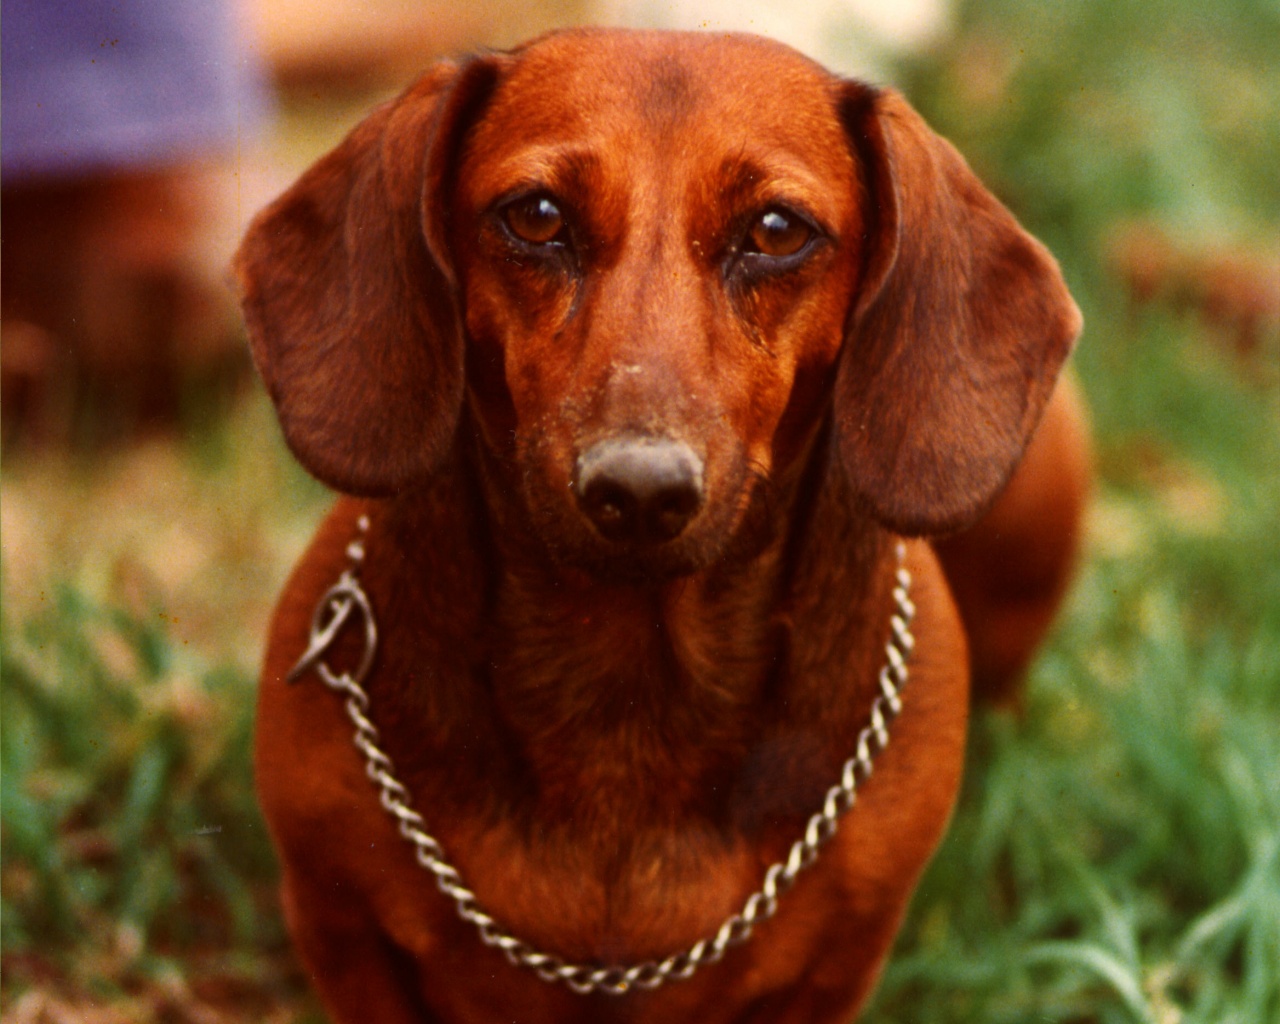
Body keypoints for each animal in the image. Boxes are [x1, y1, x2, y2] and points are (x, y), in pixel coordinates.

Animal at [235, 27, 1089, 1023]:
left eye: (776, 231)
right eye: (536, 215)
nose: (638, 491)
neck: (628, 696)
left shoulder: (840, 959)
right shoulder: (339, 920)